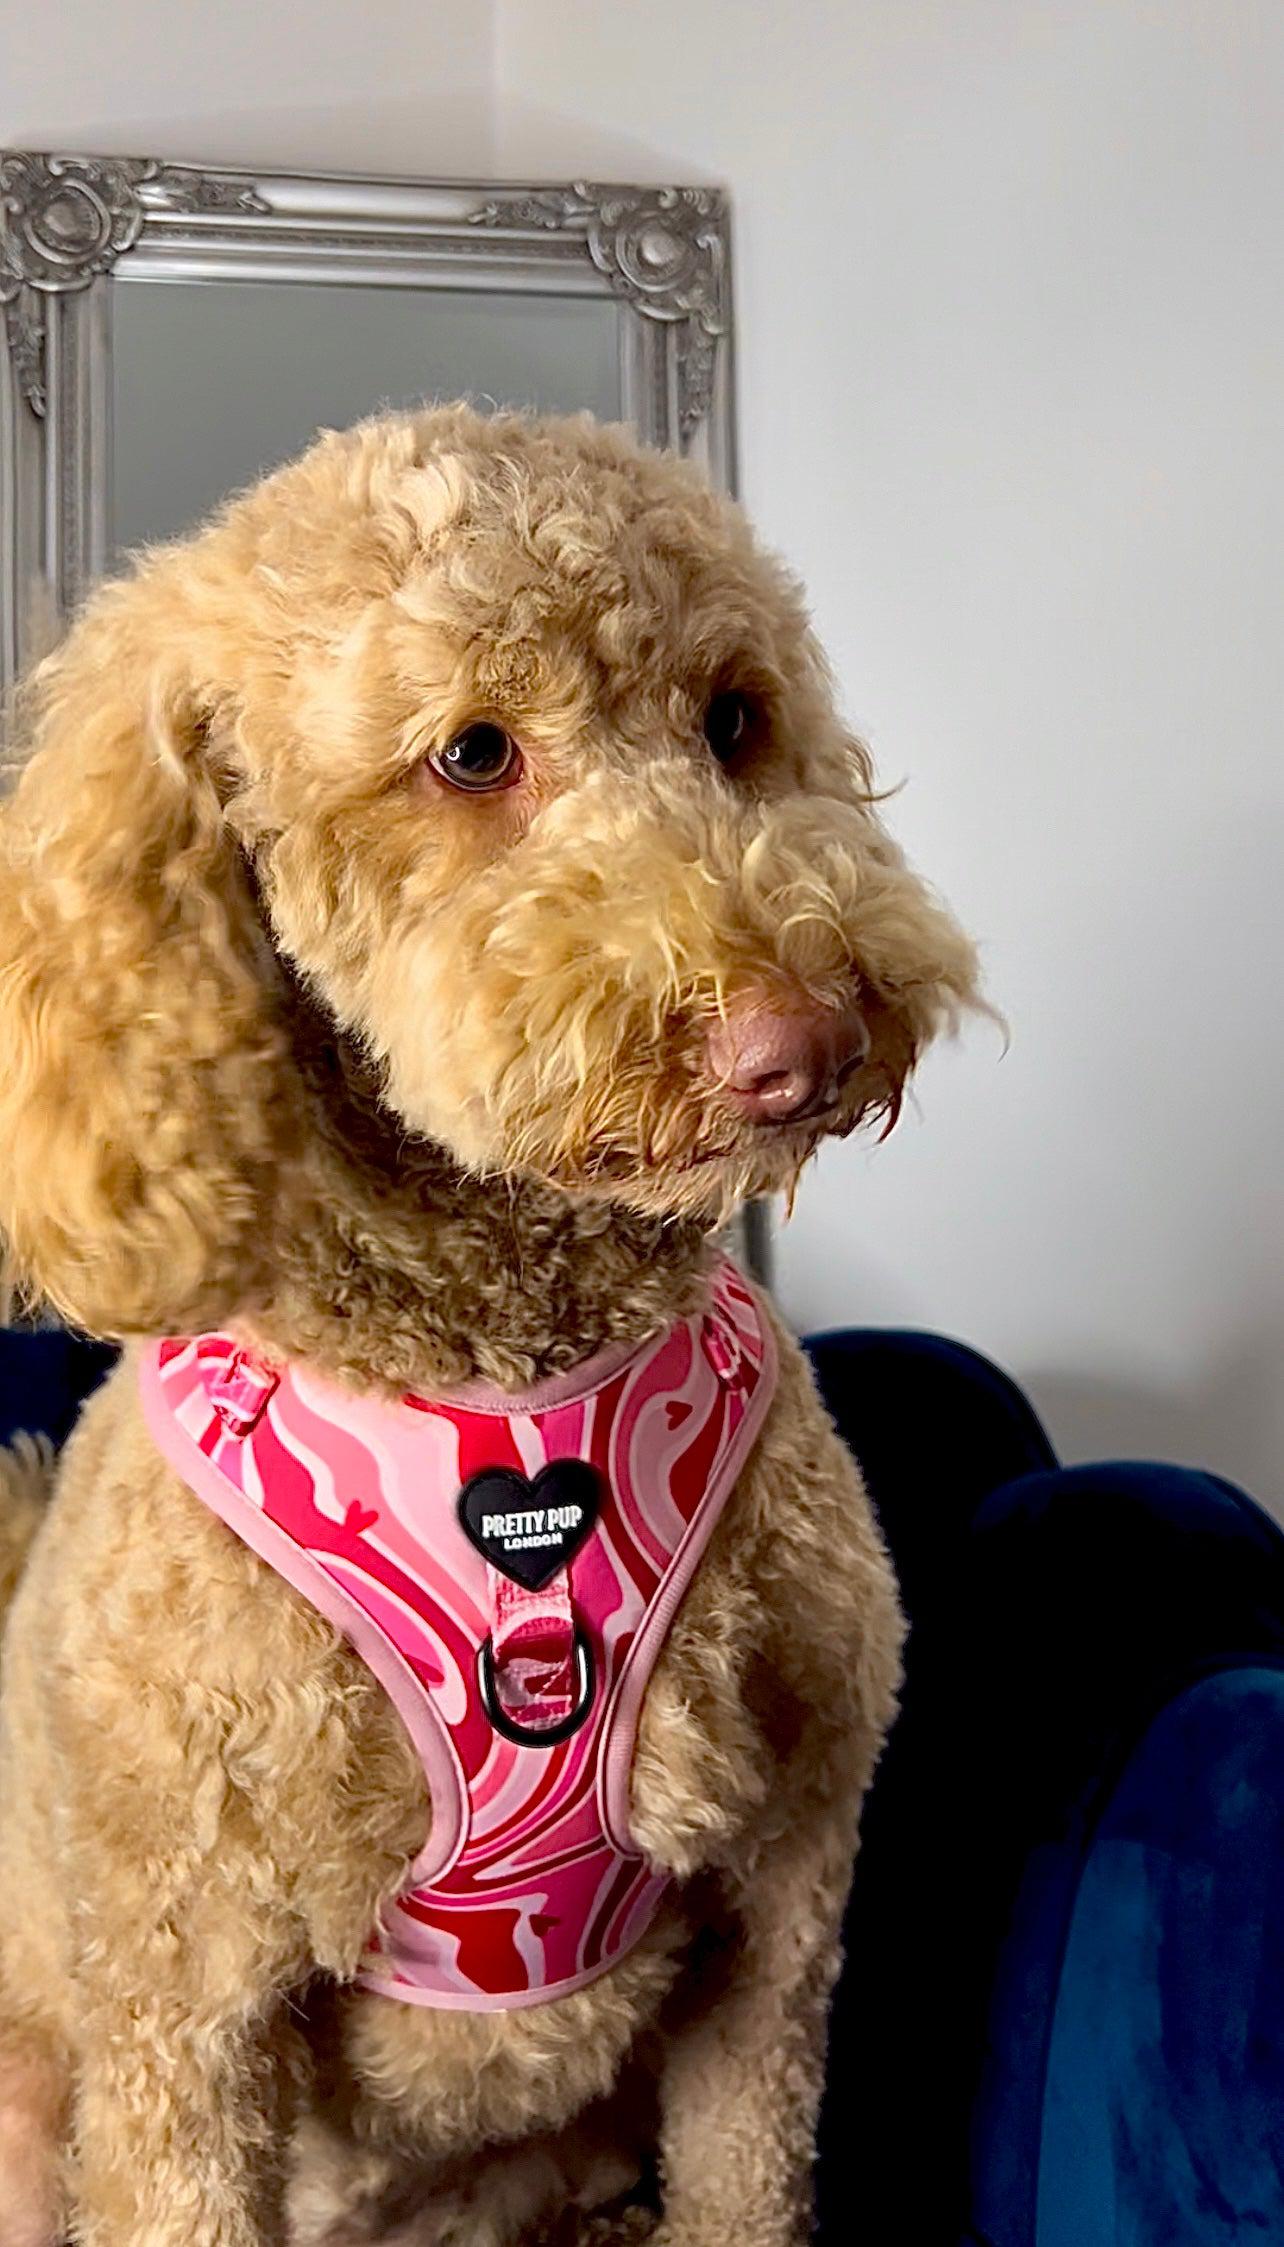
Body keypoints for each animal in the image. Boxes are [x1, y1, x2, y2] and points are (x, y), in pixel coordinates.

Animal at [0, 408, 975, 2247]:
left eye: (735, 715)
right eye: (470, 753)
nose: (804, 1040)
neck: (506, 1384)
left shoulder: (782, 1907)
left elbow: (747, 2170)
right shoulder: (185, 2009)